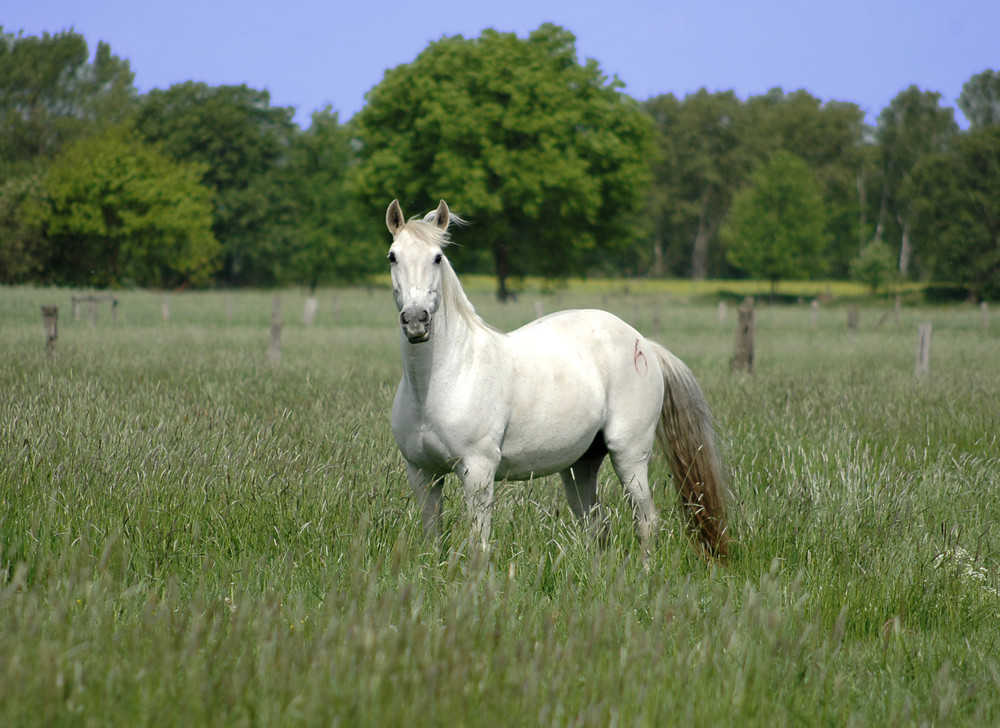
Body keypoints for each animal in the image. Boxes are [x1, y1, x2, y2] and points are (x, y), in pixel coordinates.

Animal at [382, 200, 728, 564]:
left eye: (437, 257)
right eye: (393, 256)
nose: (416, 320)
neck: (440, 381)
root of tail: (644, 343)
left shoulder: (477, 471)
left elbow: (479, 543)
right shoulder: (422, 474)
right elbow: (433, 538)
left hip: (629, 455)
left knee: (646, 521)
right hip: (580, 466)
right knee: (597, 527)